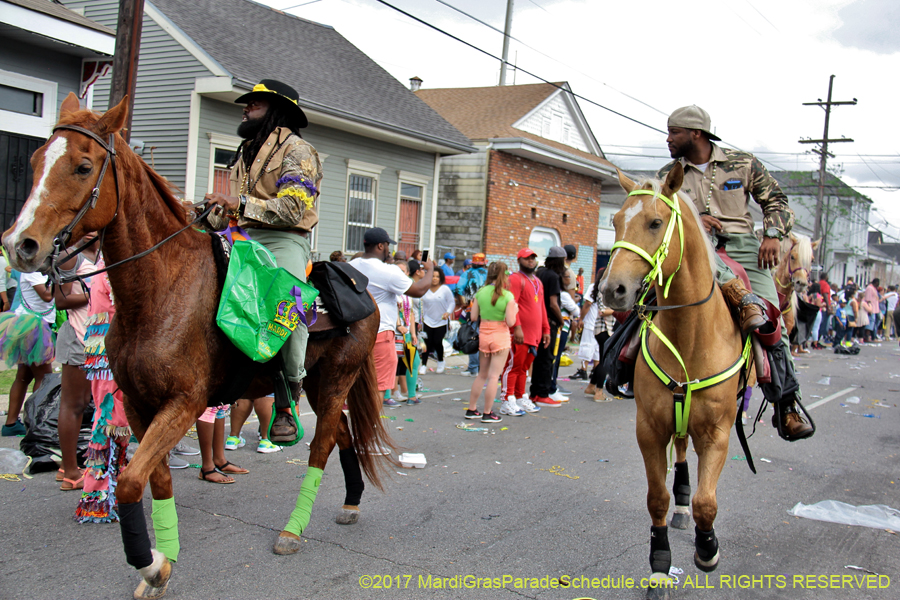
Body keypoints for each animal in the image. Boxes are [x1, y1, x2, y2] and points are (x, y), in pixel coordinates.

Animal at [3, 94, 392, 600]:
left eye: (83, 166)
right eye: (35, 162)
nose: (19, 244)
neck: (162, 290)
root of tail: (362, 285)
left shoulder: (183, 403)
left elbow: (129, 482)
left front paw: (150, 564)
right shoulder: (140, 405)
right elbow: (157, 480)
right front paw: (163, 561)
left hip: (334, 383)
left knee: (323, 443)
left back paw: (292, 530)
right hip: (316, 384)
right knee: (342, 434)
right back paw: (350, 502)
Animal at [600, 165, 748, 600]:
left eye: (655, 222)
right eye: (615, 222)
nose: (611, 290)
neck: (691, 334)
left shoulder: (717, 432)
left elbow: (707, 503)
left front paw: (707, 549)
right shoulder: (650, 427)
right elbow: (657, 498)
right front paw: (660, 567)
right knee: (680, 455)